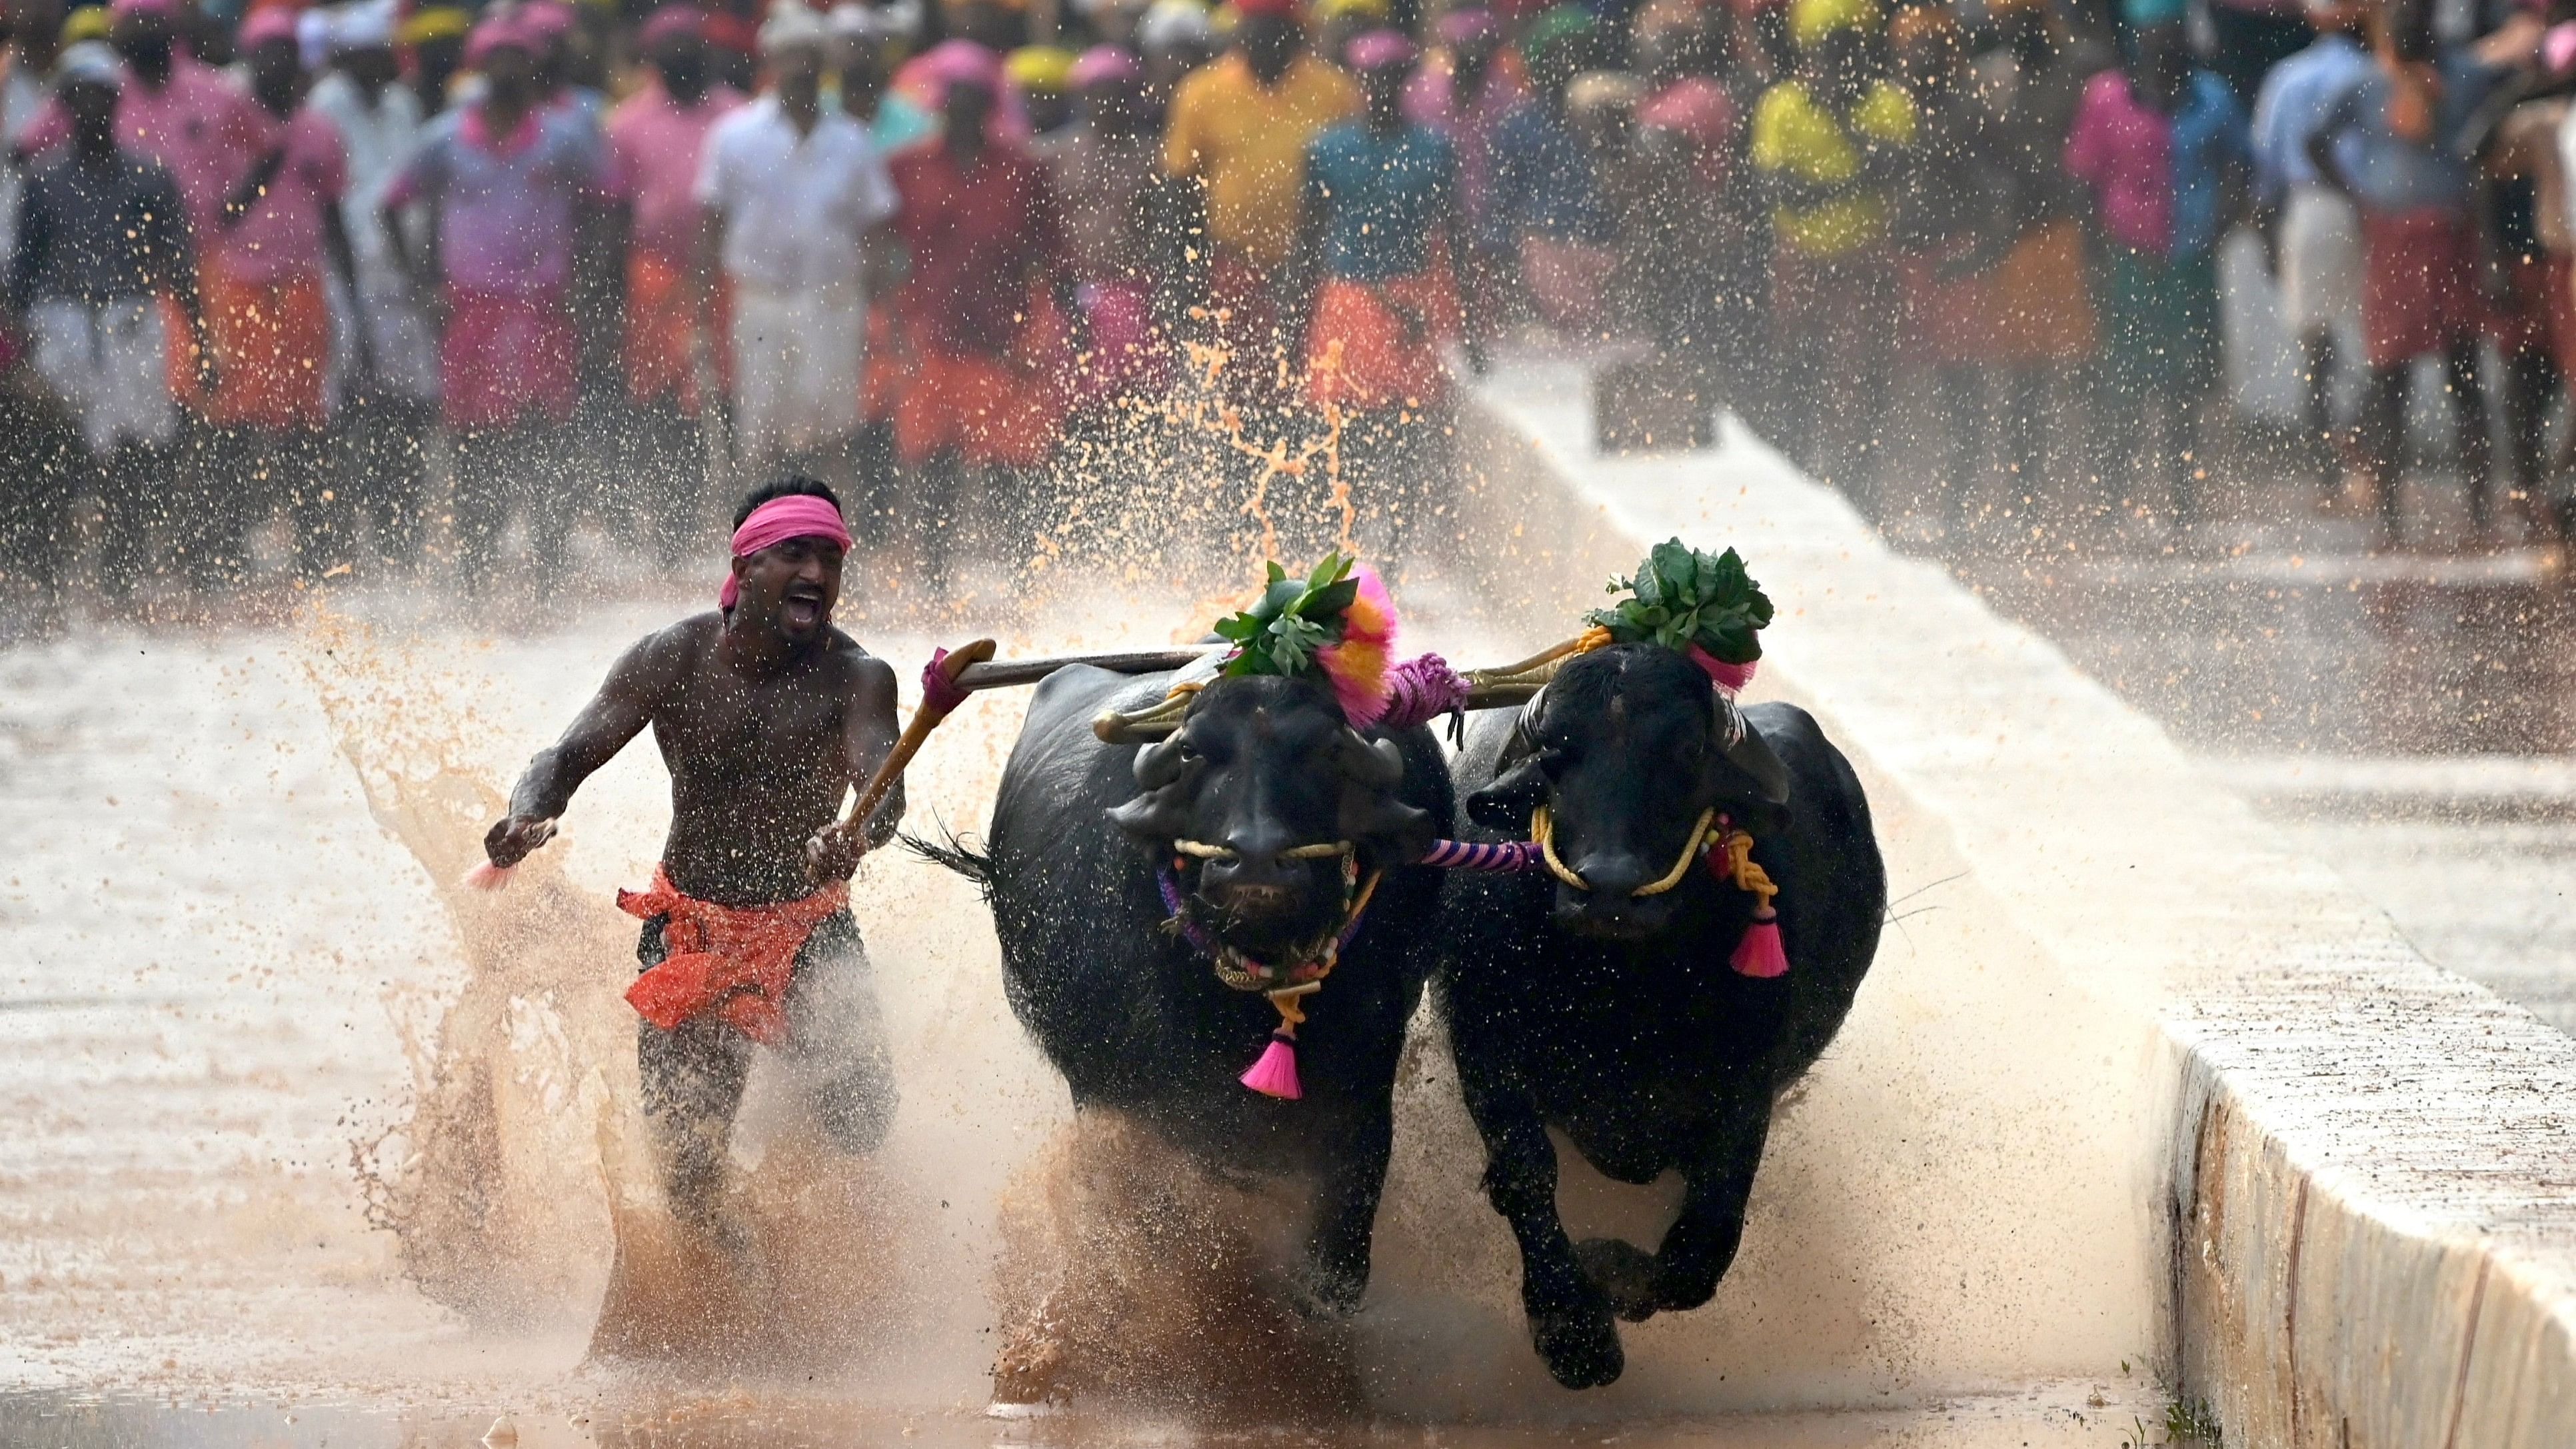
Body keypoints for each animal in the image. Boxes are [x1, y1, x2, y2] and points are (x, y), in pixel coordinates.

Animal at [922, 665, 1452, 1310]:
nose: (1255, 860)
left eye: (1329, 749)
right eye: (1193, 751)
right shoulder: (1143, 1110)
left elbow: (1336, 1271)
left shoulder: (1362, 1094)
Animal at [1442, 642, 1886, 1392]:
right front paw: (1572, 1327)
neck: (1620, 997)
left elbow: (1703, 1243)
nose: (1610, 888)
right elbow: (1527, 1172)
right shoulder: (1483, 1048)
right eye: (1557, 754)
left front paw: (1608, 1271)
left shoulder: (1745, 1089)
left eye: (1685, 754)